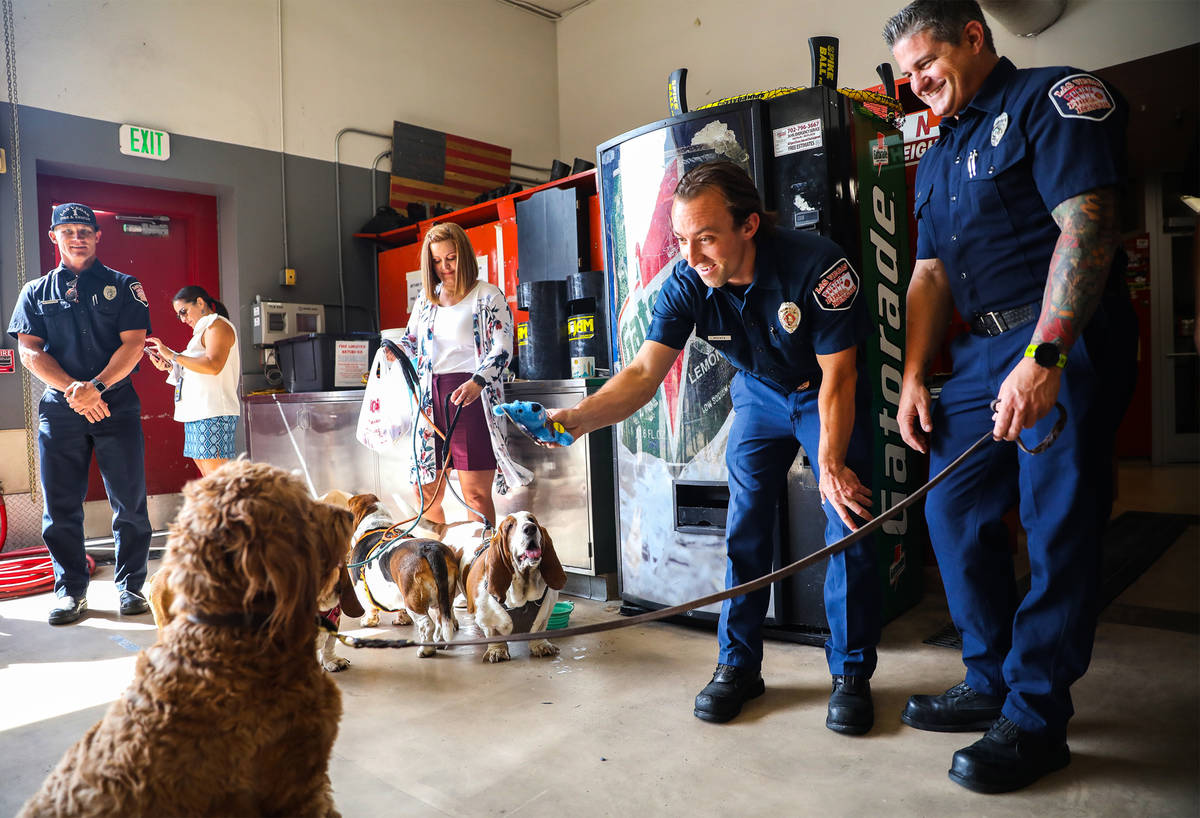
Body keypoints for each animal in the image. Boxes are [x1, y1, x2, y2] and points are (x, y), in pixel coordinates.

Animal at [348, 491, 463, 657]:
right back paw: (439, 641)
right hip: (445, 595)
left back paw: (426, 650)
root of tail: (430, 549)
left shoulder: (360, 589)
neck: (376, 526)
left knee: (427, 624)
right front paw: (402, 620)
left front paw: (368, 622)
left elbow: (370, 608)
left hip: (413, 600)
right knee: (442, 620)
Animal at [463, 508, 566, 662]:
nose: (530, 528)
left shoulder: (545, 613)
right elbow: (494, 634)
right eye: (510, 526)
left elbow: (539, 629)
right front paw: (497, 650)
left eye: (531, 520)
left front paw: (541, 645)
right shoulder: (487, 620)